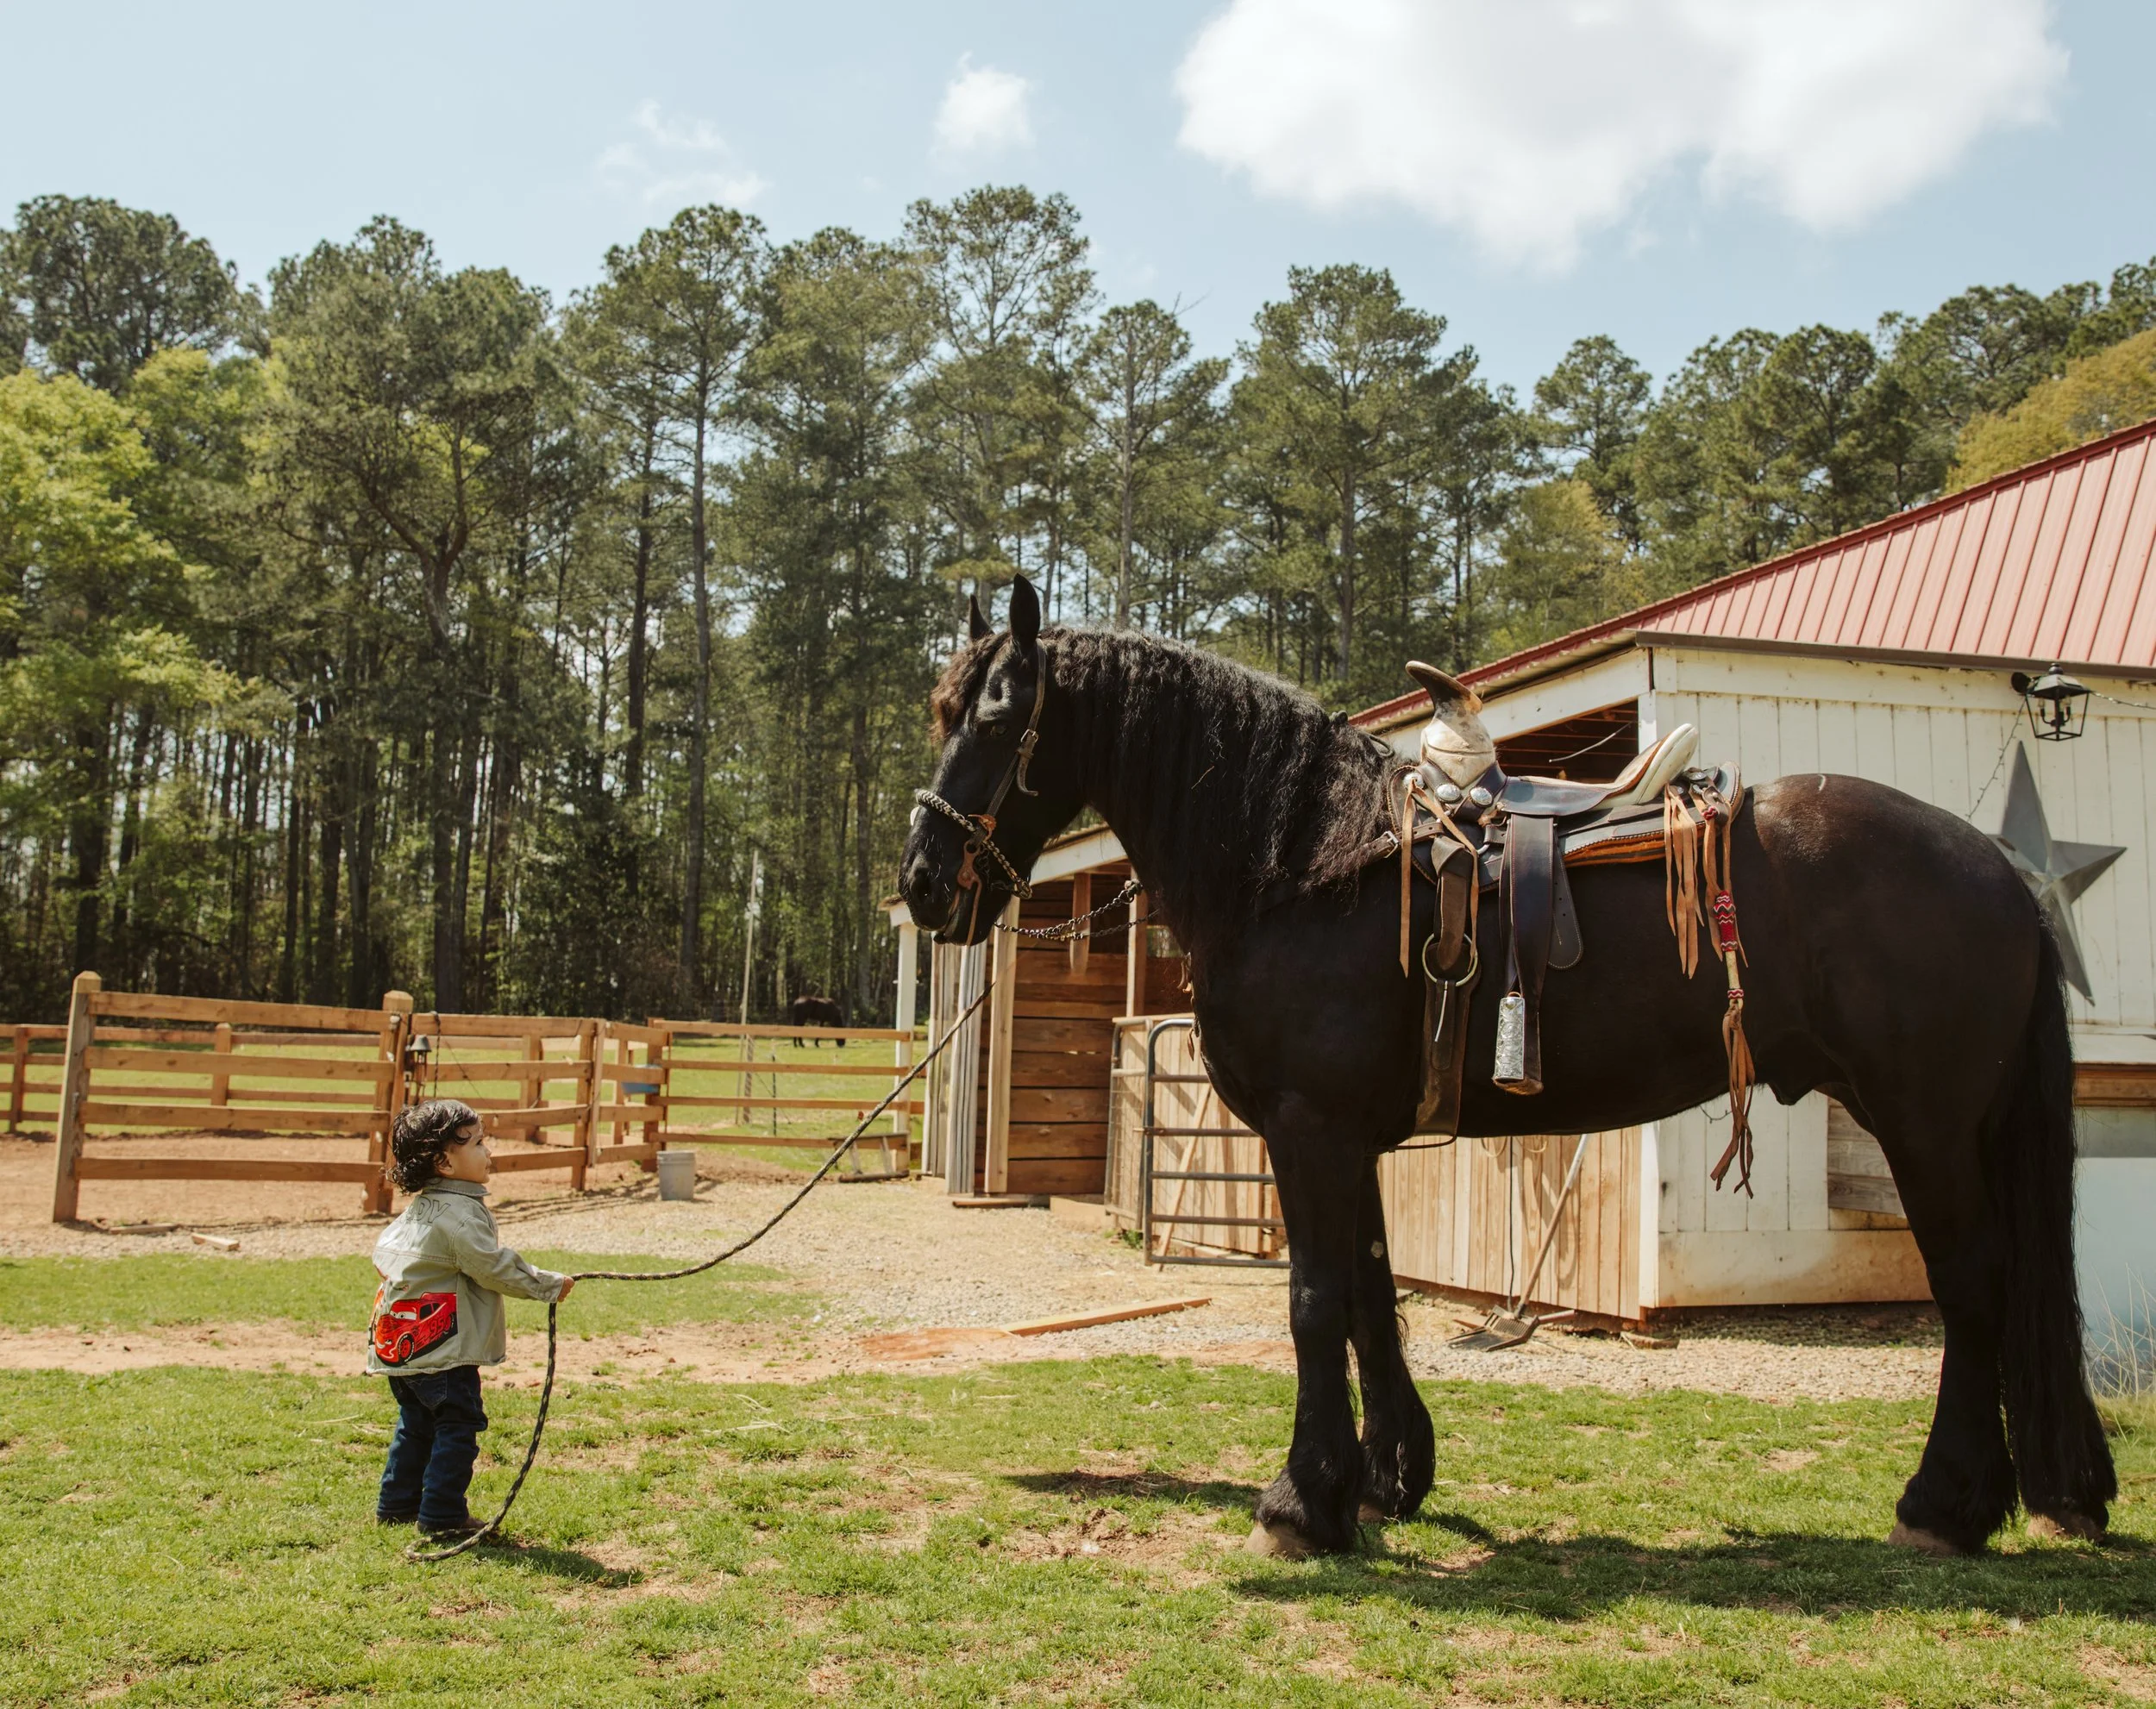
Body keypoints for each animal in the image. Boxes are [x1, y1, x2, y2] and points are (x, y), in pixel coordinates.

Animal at [898, 574, 2115, 1560]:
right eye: (943, 712)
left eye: (997, 714)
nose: (922, 880)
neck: (1303, 861)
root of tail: (2002, 872)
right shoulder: (1349, 1137)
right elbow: (1371, 1295)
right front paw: (1384, 1478)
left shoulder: (1307, 1128)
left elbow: (1313, 1300)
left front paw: (1300, 1501)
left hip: (1925, 1124)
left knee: (1975, 1284)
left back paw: (1944, 1503)